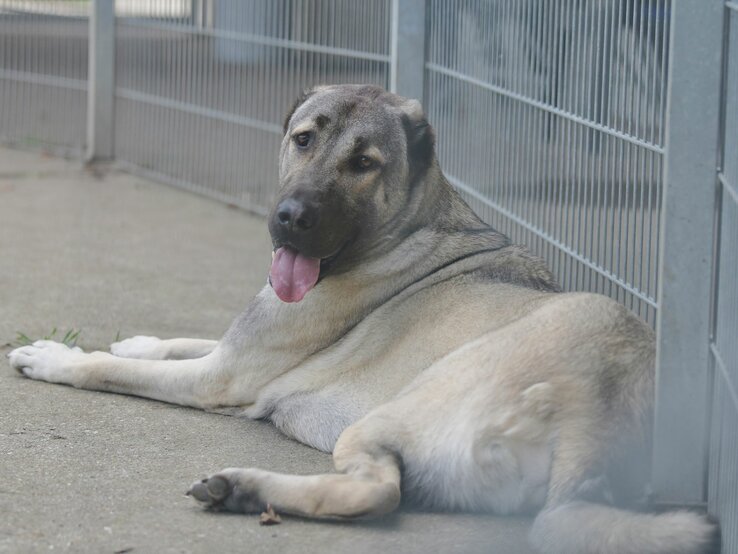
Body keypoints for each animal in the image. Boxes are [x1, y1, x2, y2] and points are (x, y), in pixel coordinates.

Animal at [7, 83, 720, 552]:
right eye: (303, 139)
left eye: (363, 163)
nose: (290, 217)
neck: (406, 224)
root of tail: (601, 407)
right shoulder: (238, 351)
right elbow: (178, 341)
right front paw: (137, 338)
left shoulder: (220, 378)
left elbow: (111, 369)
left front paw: (58, 357)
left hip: (403, 408)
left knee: (376, 493)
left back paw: (244, 488)